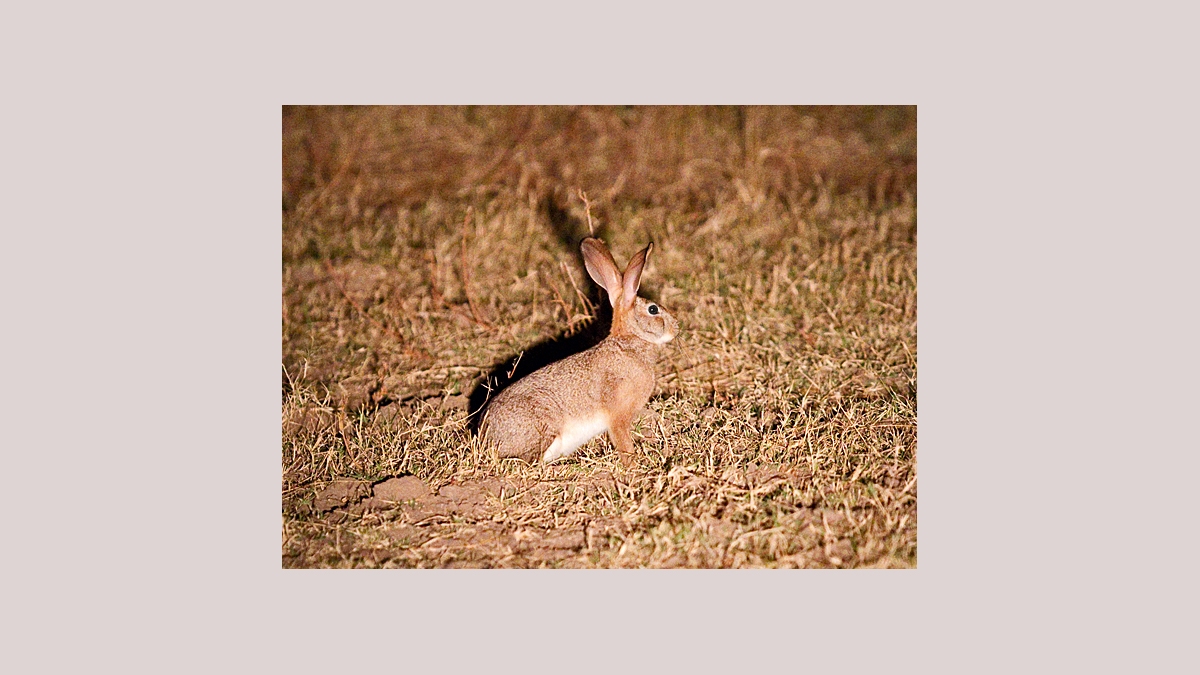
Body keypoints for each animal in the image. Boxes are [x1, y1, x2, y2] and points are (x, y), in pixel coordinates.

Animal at [480, 237, 679, 468]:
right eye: (653, 309)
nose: (677, 327)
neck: (628, 342)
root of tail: (485, 438)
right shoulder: (618, 416)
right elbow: (623, 442)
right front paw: (634, 465)